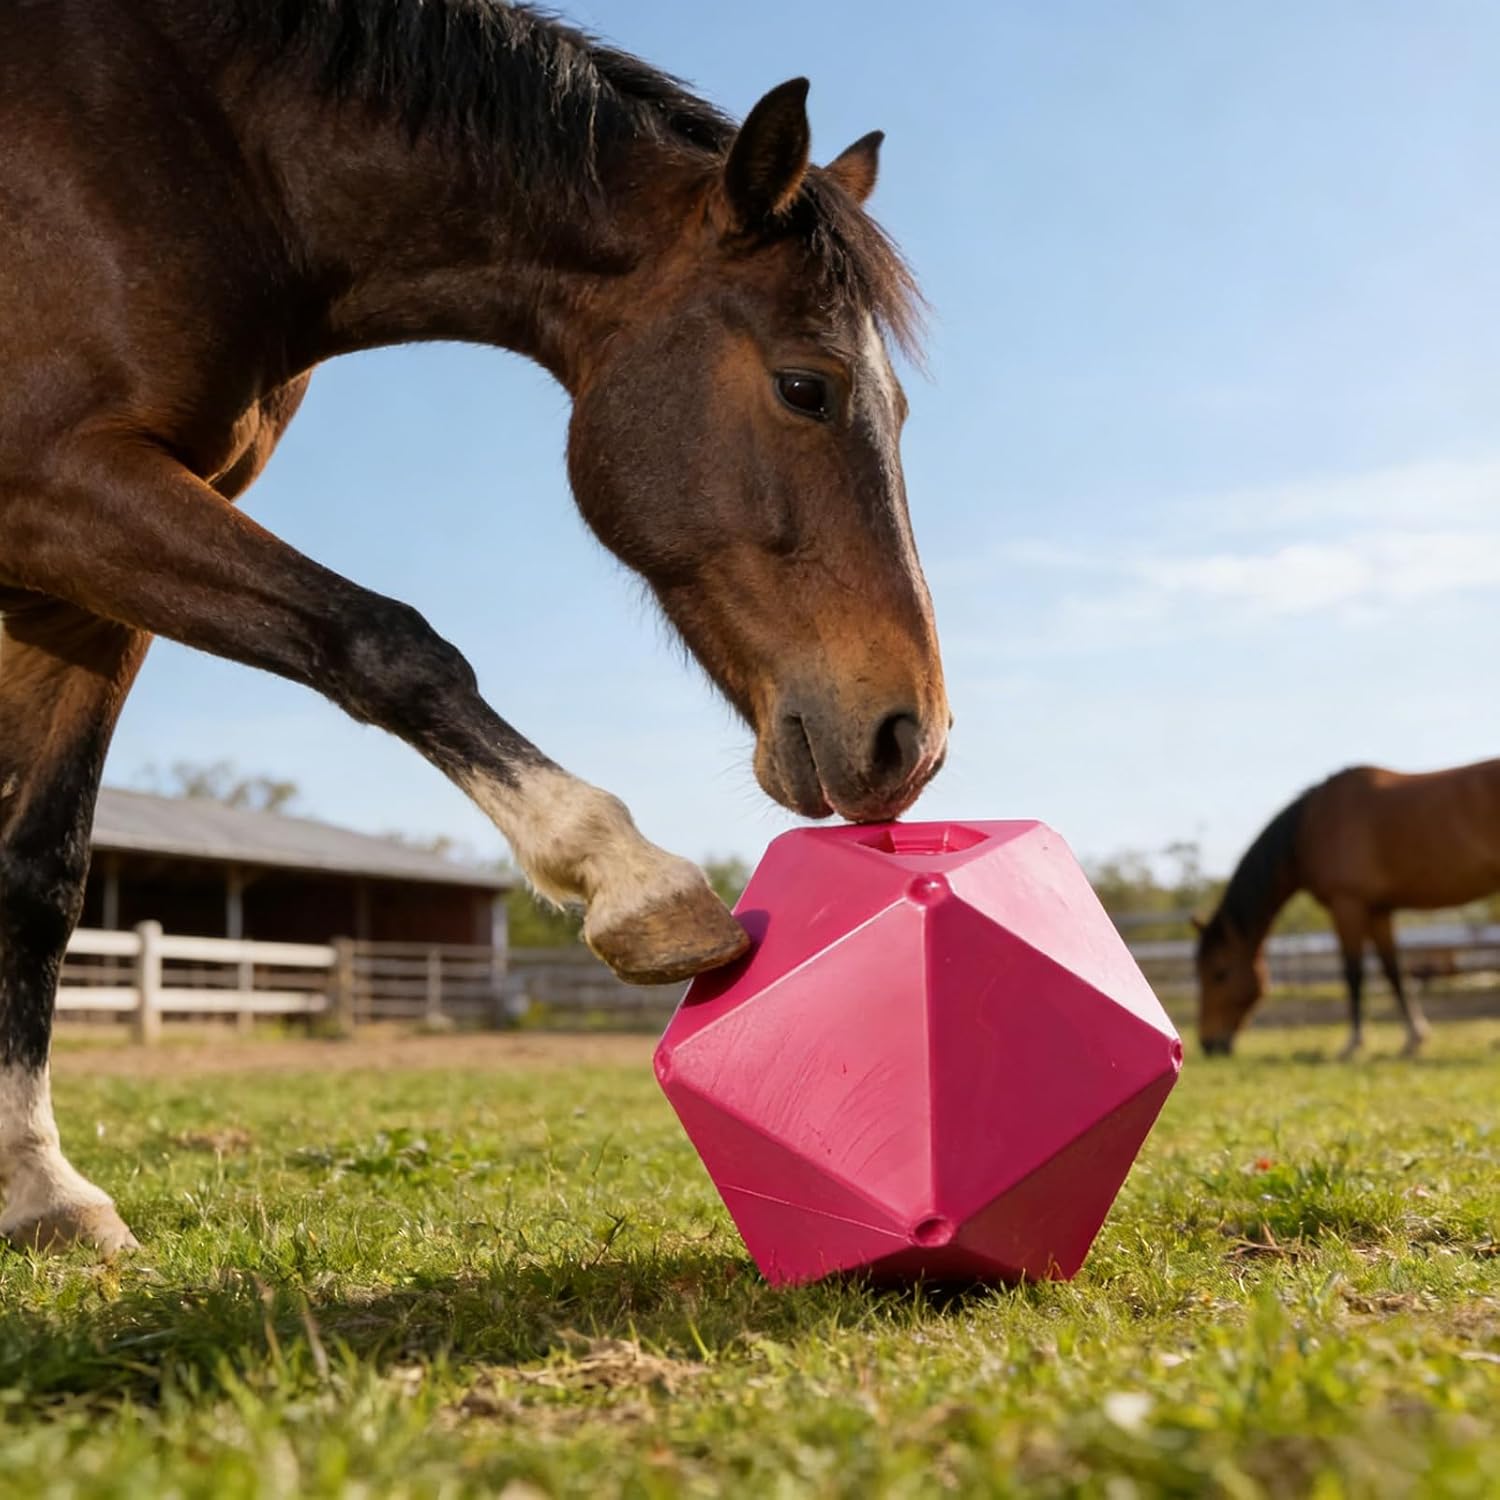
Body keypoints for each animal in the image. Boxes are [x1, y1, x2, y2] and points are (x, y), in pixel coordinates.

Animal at [0, 2, 951, 1255]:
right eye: (807, 386)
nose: (911, 738)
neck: (189, 145)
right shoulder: (58, 488)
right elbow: (391, 643)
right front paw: (636, 883)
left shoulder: (86, 580)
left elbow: (40, 874)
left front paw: (42, 1187)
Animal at [1195, 759, 1500, 1059]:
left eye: (1219, 973)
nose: (1208, 1044)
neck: (1309, 826)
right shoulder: (1378, 910)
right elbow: (1394, 972)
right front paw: (1414, 1039)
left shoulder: (1347, 904)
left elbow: (1354, 973)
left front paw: (1353, 1044)